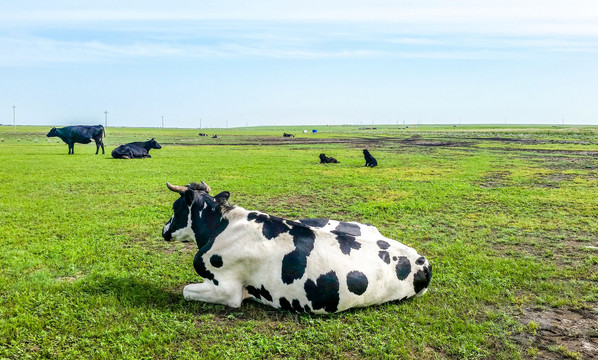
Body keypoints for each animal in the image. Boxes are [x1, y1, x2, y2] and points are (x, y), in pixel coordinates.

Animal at [162, 181, 434, 314]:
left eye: (175, 208)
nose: (164, 229)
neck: (222, 225)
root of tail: (423, 261)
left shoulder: (228, 290)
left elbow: (186, 290)